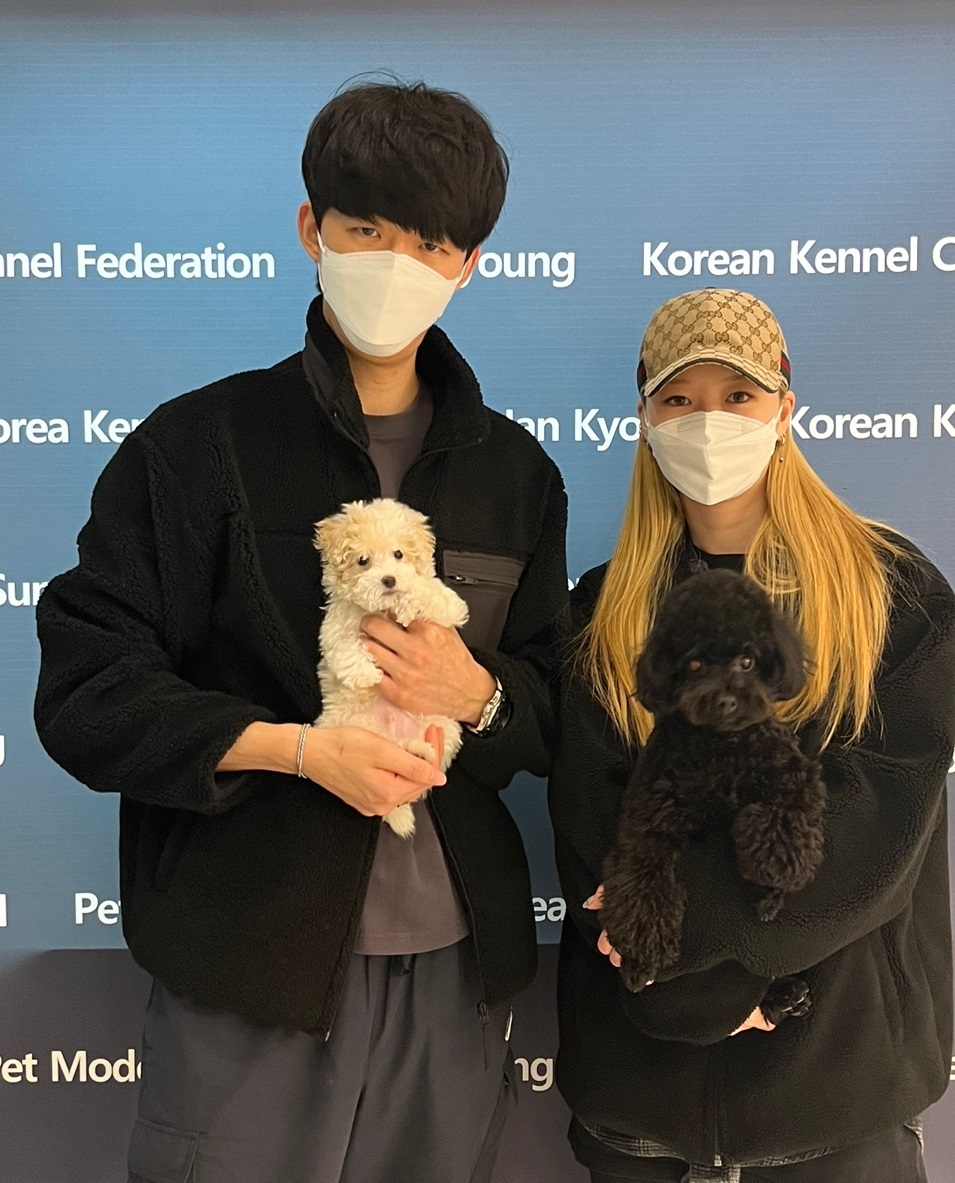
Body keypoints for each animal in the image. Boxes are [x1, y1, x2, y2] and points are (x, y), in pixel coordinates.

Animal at [312, 498, 469, 838]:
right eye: (363, 560)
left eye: (398, 554)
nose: (389, 580)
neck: (383, 610)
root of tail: (396, 738)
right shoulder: (336, 626)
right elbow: (344, 647)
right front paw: (367, 673)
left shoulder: (445, 606)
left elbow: (436, 599)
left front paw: (410, 601)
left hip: (444, 727)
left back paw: (421, 753)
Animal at [600, 567, 826, 1023]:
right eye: (694, 663)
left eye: (747, 660)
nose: (725, 700)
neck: (719, 747)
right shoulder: (648, 822)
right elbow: (643, 886)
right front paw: (642, 954)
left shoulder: (793, 772)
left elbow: (782, 817)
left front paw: (772, 869)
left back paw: (786, 995)